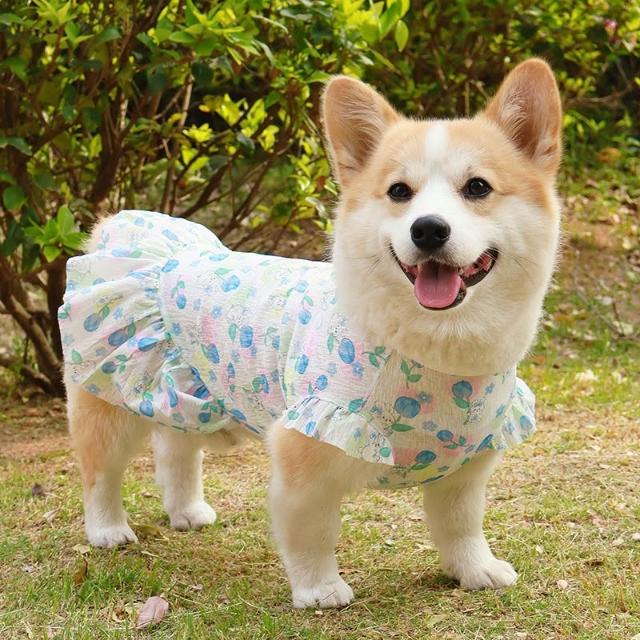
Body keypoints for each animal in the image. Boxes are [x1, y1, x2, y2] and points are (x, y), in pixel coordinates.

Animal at [61, 58, 562, 609]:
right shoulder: (305, 455)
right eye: (399, 192)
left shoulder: (465, 471)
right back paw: (107, 529)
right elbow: (312, 533)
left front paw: (475, 569)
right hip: (110, 398)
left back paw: (187, 511)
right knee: (100, 472)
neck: (434, 353)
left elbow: (461, 527)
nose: (428, 229)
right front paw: (319, 589)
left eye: (477, 188)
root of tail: (125, 230)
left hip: (189, 390)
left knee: (176, 447)